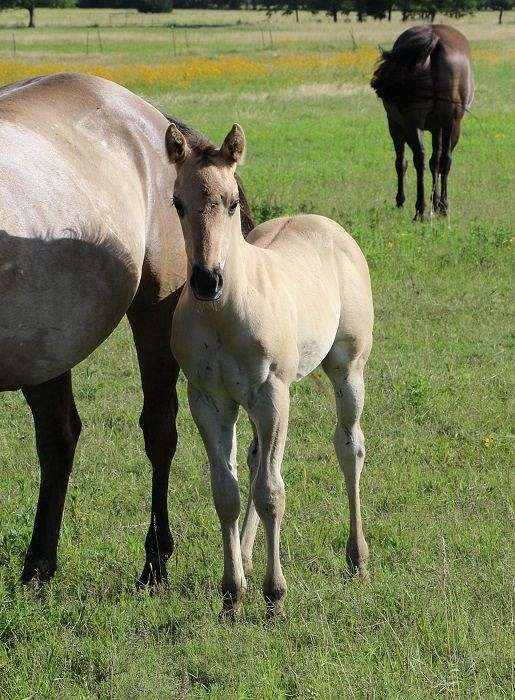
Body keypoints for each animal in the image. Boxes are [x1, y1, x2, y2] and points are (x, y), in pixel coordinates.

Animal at [0, 73, 254, 587]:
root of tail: (145, 111)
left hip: (152, 316)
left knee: (158, 428)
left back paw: (154, 562)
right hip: (45, 348)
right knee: (59, 436)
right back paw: (39, 567)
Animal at [166, 122, 374, 618]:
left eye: (231, 202)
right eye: (177, 203)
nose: (207, 280)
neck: (224, 315)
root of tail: (325, 225)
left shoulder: (273, 394)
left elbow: (271, 492)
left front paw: (274, 596)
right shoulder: (209, 400)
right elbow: (227, 491)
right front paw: (231, 593)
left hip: (348, 369)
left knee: (349, 446)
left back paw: (357, 558)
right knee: (259, 459)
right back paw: (243, 556)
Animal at [371, 24, 474, 220]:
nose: (376, 84)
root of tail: (436, 40)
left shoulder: (395, 125)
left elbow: (401, 163)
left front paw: (401, 200)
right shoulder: (438, 127)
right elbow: (437, 161)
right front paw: (437, 202)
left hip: (412, 122)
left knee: (419, 158)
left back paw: (420, 209)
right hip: (452, 123)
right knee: (443, 159)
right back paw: (440, 207)